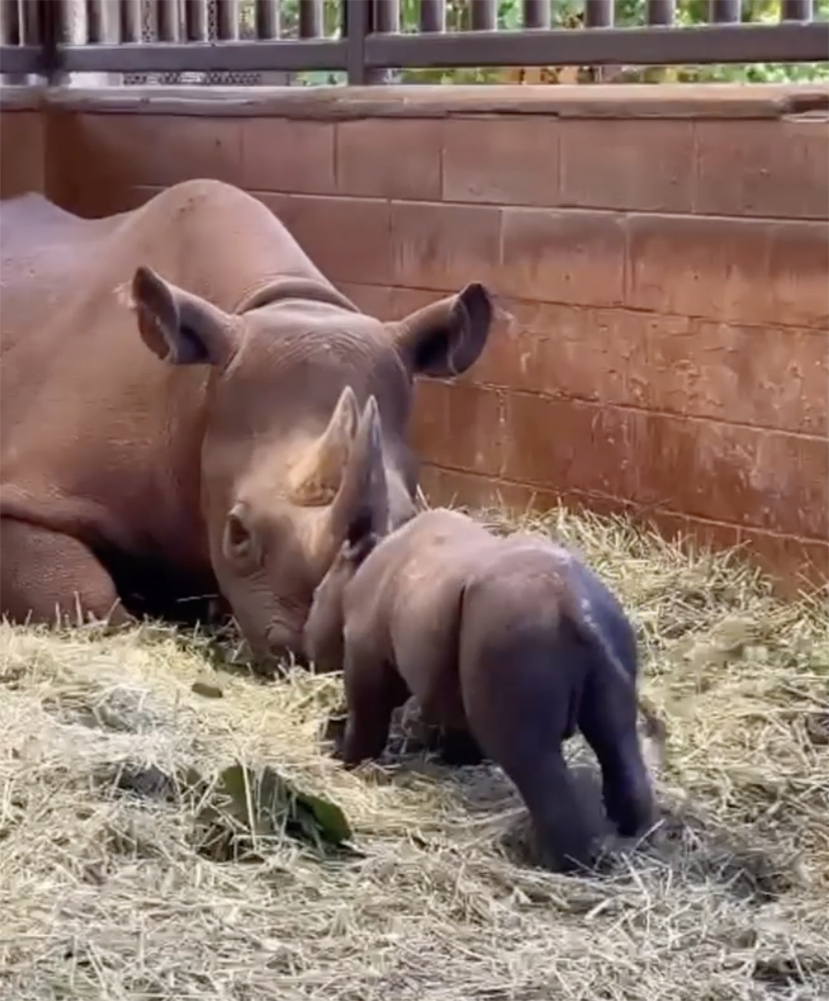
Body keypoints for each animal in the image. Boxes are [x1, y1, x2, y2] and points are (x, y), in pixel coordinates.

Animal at [304, 398, 664, 872]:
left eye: (314, 598)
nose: (305, 640)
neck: (361, 558)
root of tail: (576, 610)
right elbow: (454, 715)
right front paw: (457, 758)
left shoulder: (368, 649)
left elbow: (369, 710)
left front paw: (343, 757)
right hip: (606, 624)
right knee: (616, 734)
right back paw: (633, 835)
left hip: (518, 639)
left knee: (530, 755)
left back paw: (546, 859)